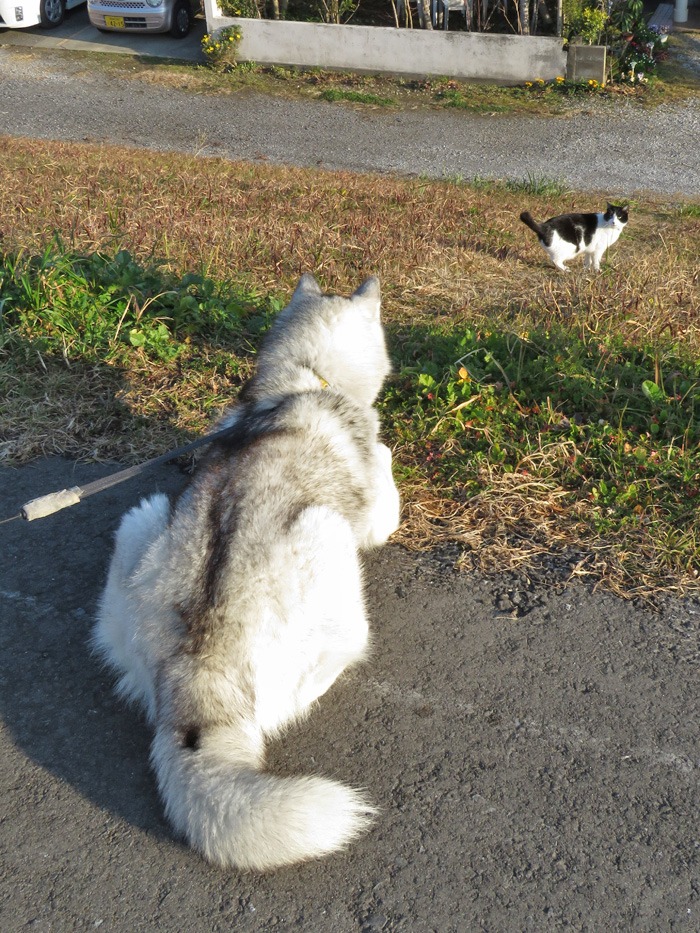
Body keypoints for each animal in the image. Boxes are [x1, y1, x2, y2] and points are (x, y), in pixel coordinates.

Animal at [93, 274, 400, 872]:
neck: (304, 377)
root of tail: (199, 667)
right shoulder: (374, 516)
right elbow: (386, 478)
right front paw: (386, 452)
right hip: (328, 537)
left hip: (145, 515)